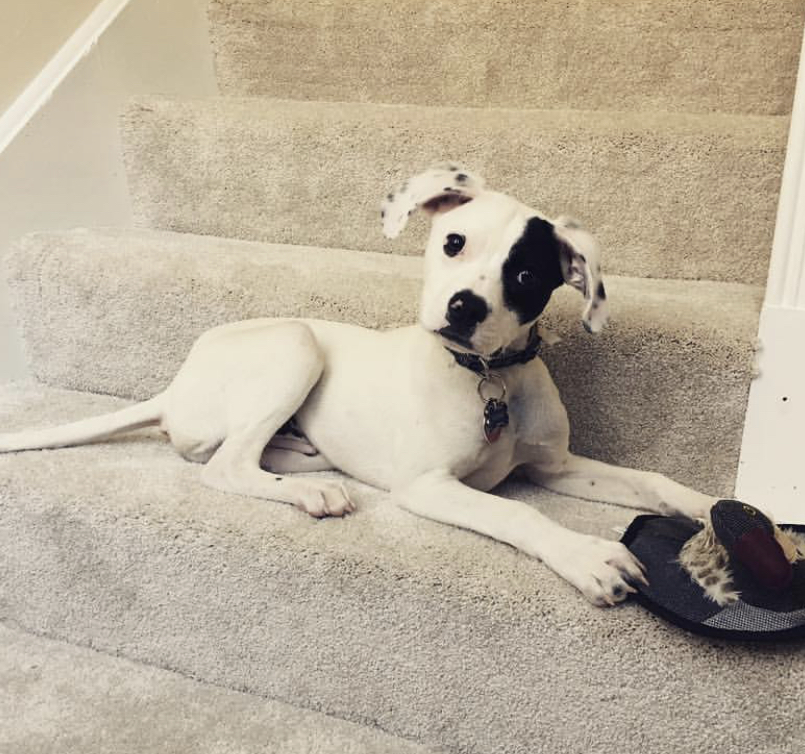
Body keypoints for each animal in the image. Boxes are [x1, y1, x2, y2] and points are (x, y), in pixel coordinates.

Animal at [0, 164, 716, 604]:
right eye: (453, 242)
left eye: (525, 275)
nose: (463, 308)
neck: (490, 381)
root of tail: (174, 388)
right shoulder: (427, 484)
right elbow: (514, 510)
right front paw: (587, 556)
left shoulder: (556, 466)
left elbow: (651, 482)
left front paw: (712, 507)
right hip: (297, 343)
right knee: (224, 464)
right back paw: (310, 491)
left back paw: (302, 457)